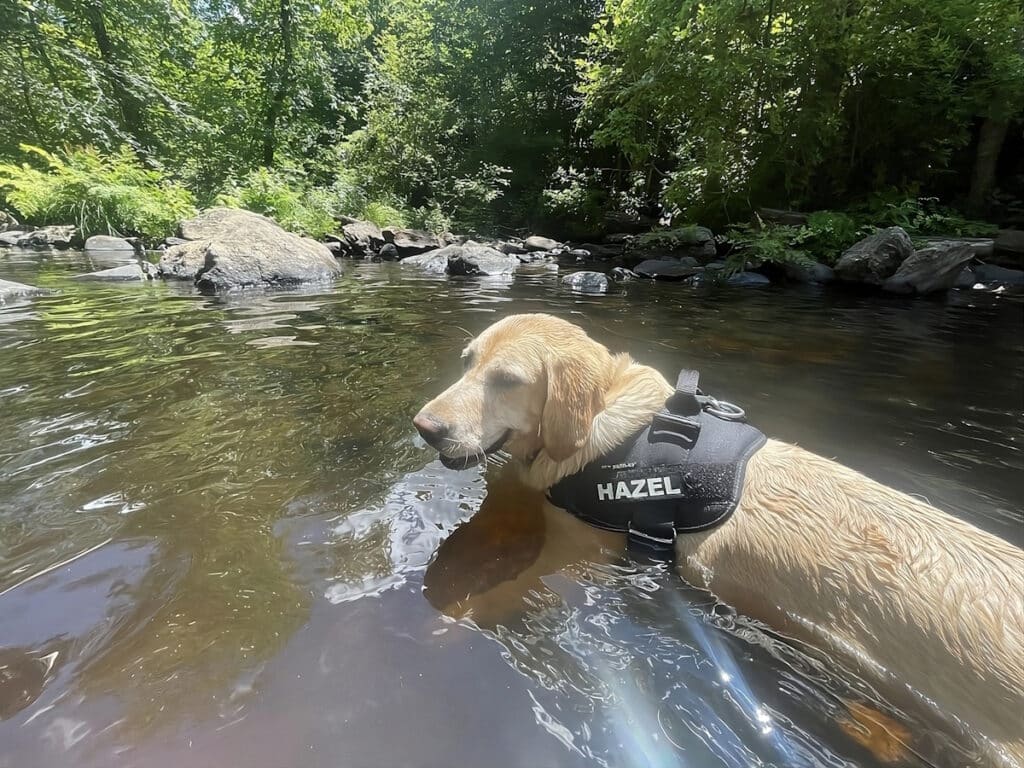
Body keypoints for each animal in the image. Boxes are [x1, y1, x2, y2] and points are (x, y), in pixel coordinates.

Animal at [413, 311, 1024, 765]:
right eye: (467, 363)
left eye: (508, 381)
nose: (425, 427)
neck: (612, 426)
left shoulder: (578, 545)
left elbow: (512, 584)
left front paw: (449, 626)